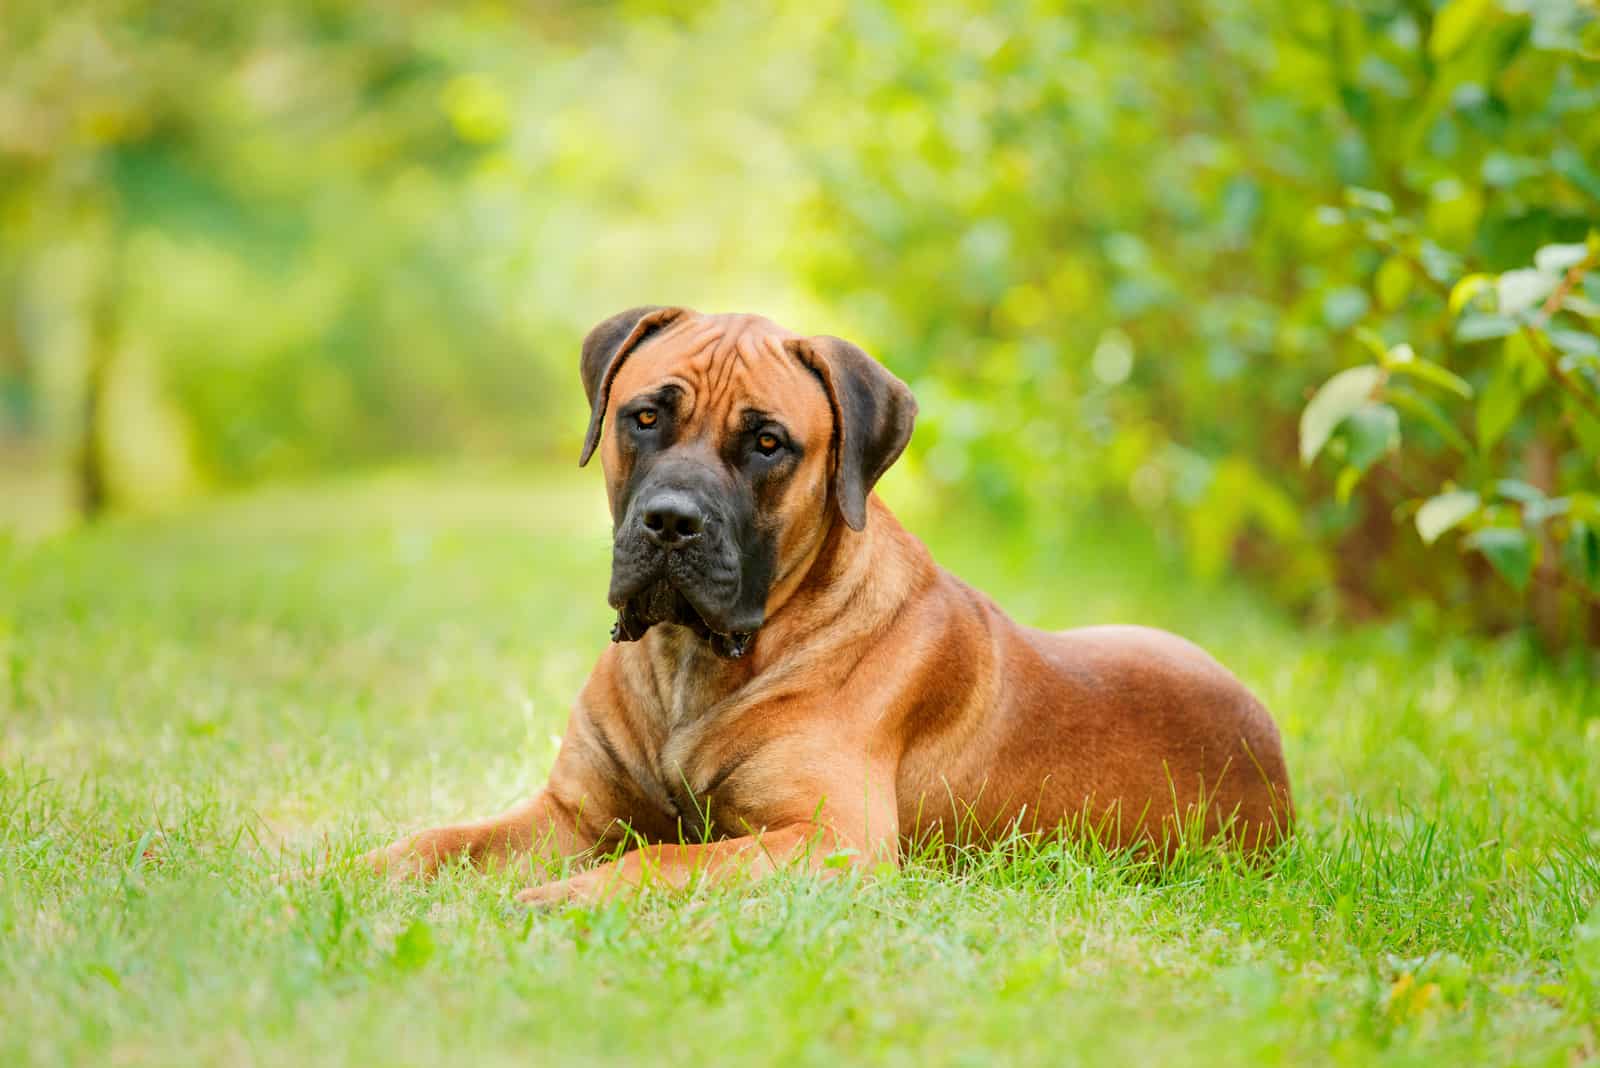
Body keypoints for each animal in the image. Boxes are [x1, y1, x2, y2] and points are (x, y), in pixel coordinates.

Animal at [360, 306, 1286, 901]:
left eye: (768, 443)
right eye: (644, 418)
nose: (671, 523)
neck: (690, 662)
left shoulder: (830, 838)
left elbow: (660, 862)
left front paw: (551, 904)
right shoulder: (573, 814)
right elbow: (437, 841)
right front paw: (341, 876)